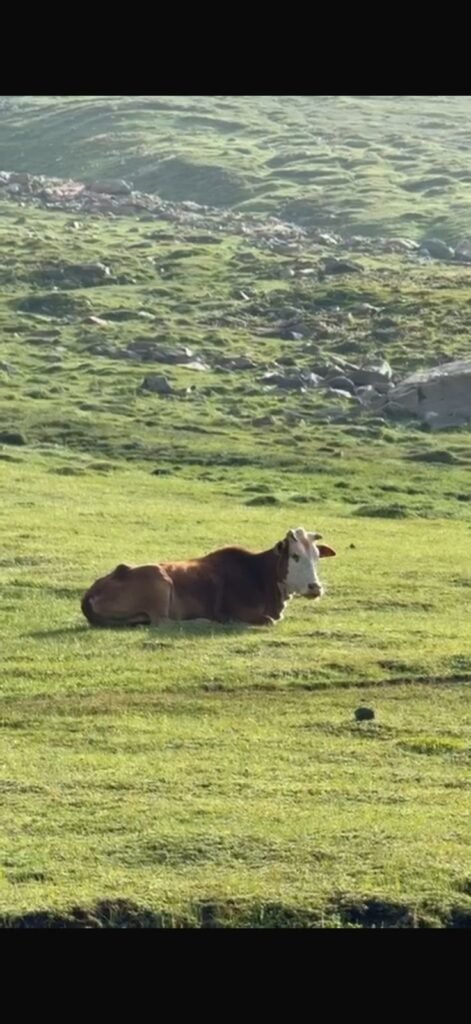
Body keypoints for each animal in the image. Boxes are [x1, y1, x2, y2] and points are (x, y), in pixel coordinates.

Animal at [81, 526, 336, 629]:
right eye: (295, 556)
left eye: (316, 556)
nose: (315, 587)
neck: (259, 573)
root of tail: (91, 591)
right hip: (160, 580)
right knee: (163, 622)